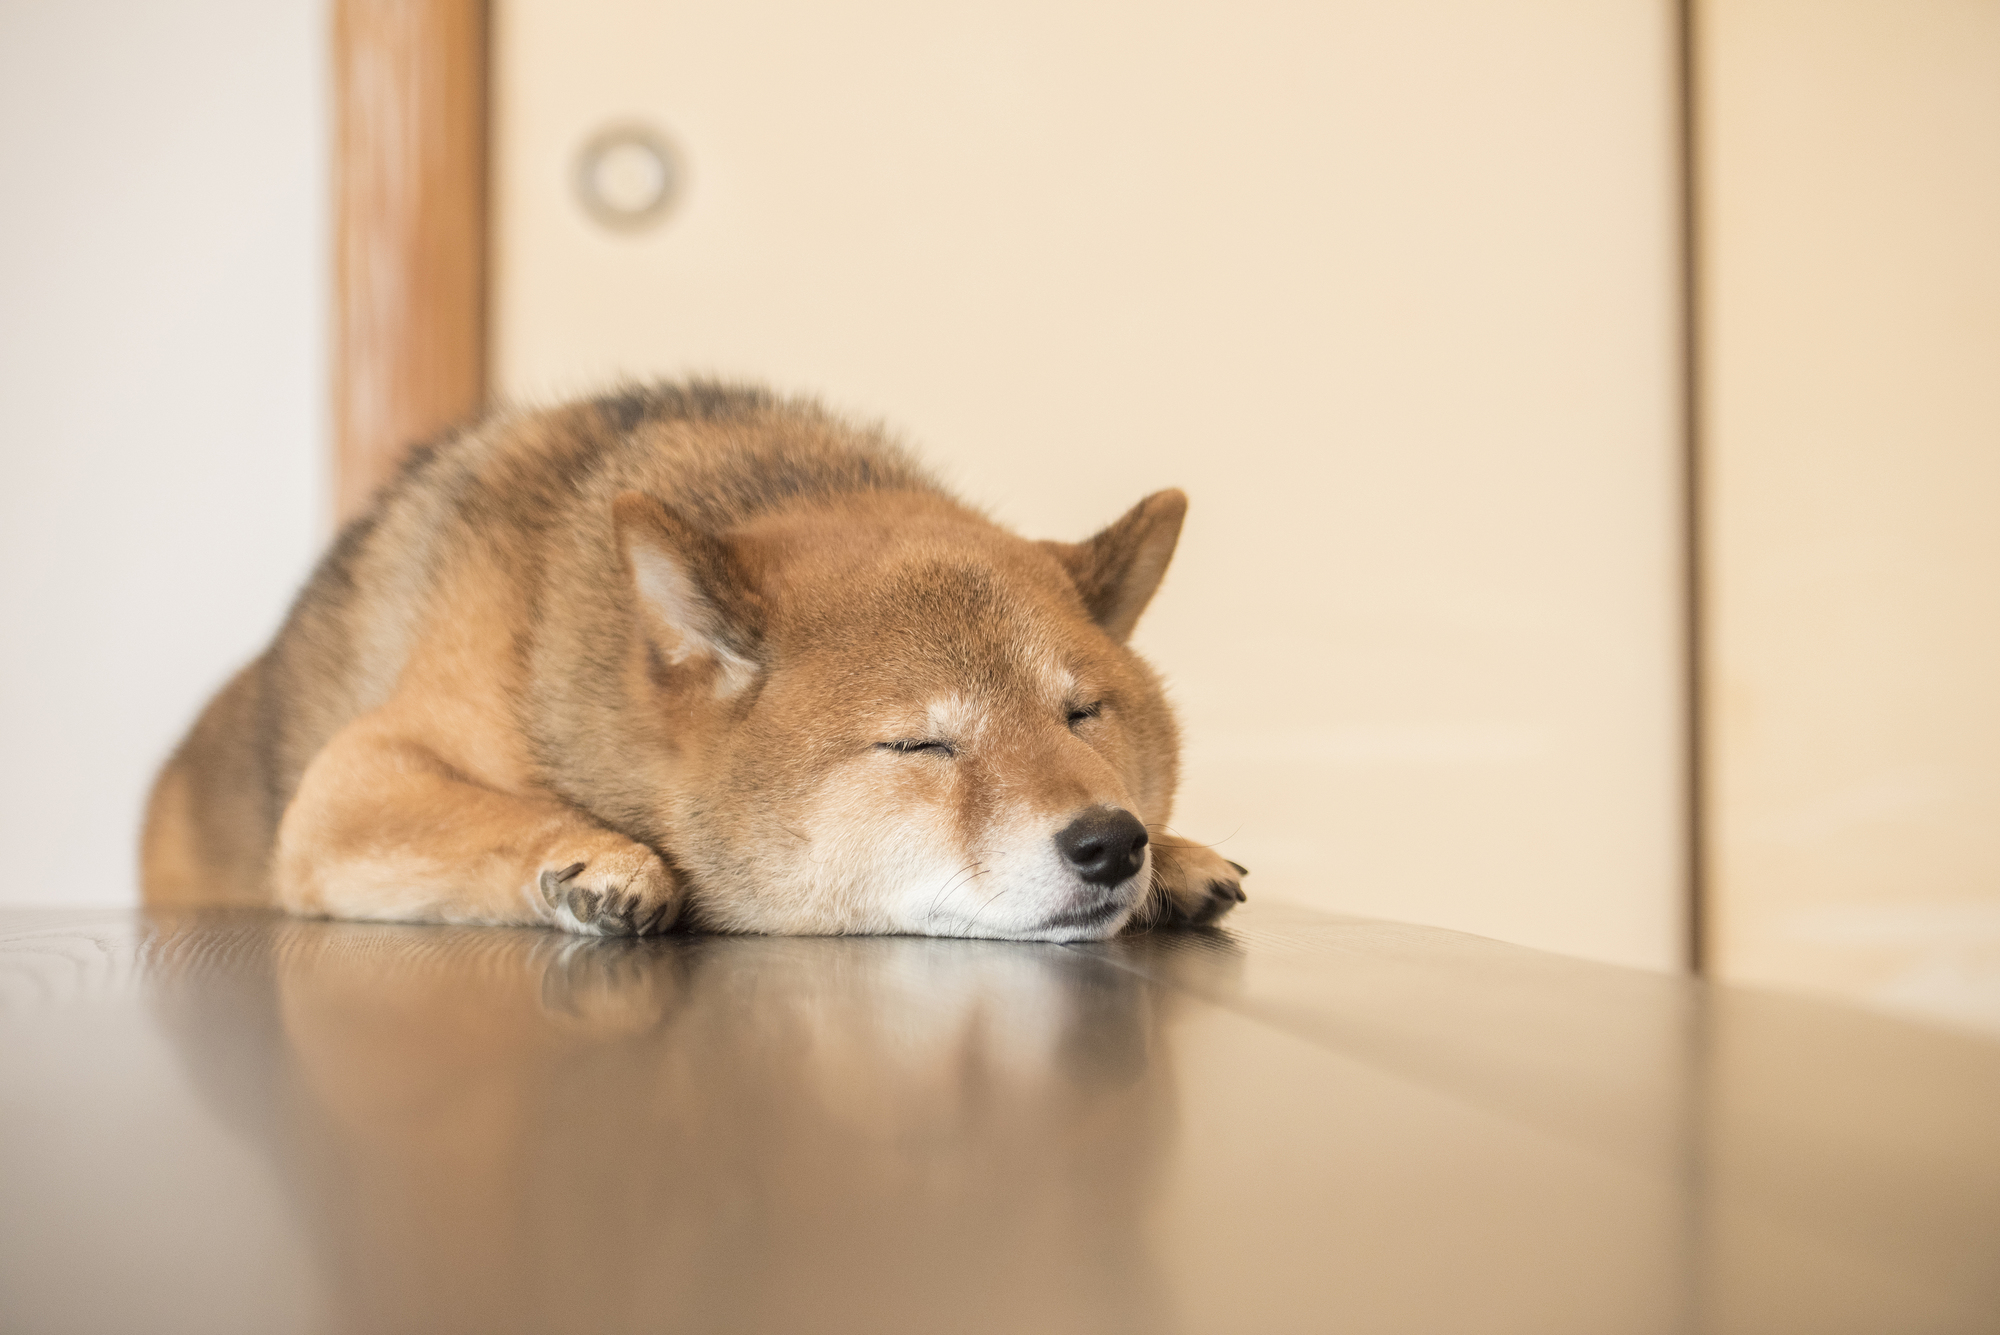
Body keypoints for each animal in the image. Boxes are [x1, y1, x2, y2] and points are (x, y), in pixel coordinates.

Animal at [141, 377, 1240, 939]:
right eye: (919, 747)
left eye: (1082, 714)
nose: (1110, 842)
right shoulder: (354, 783)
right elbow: (496, 813)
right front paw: (596, 859)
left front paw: (1177, 854)